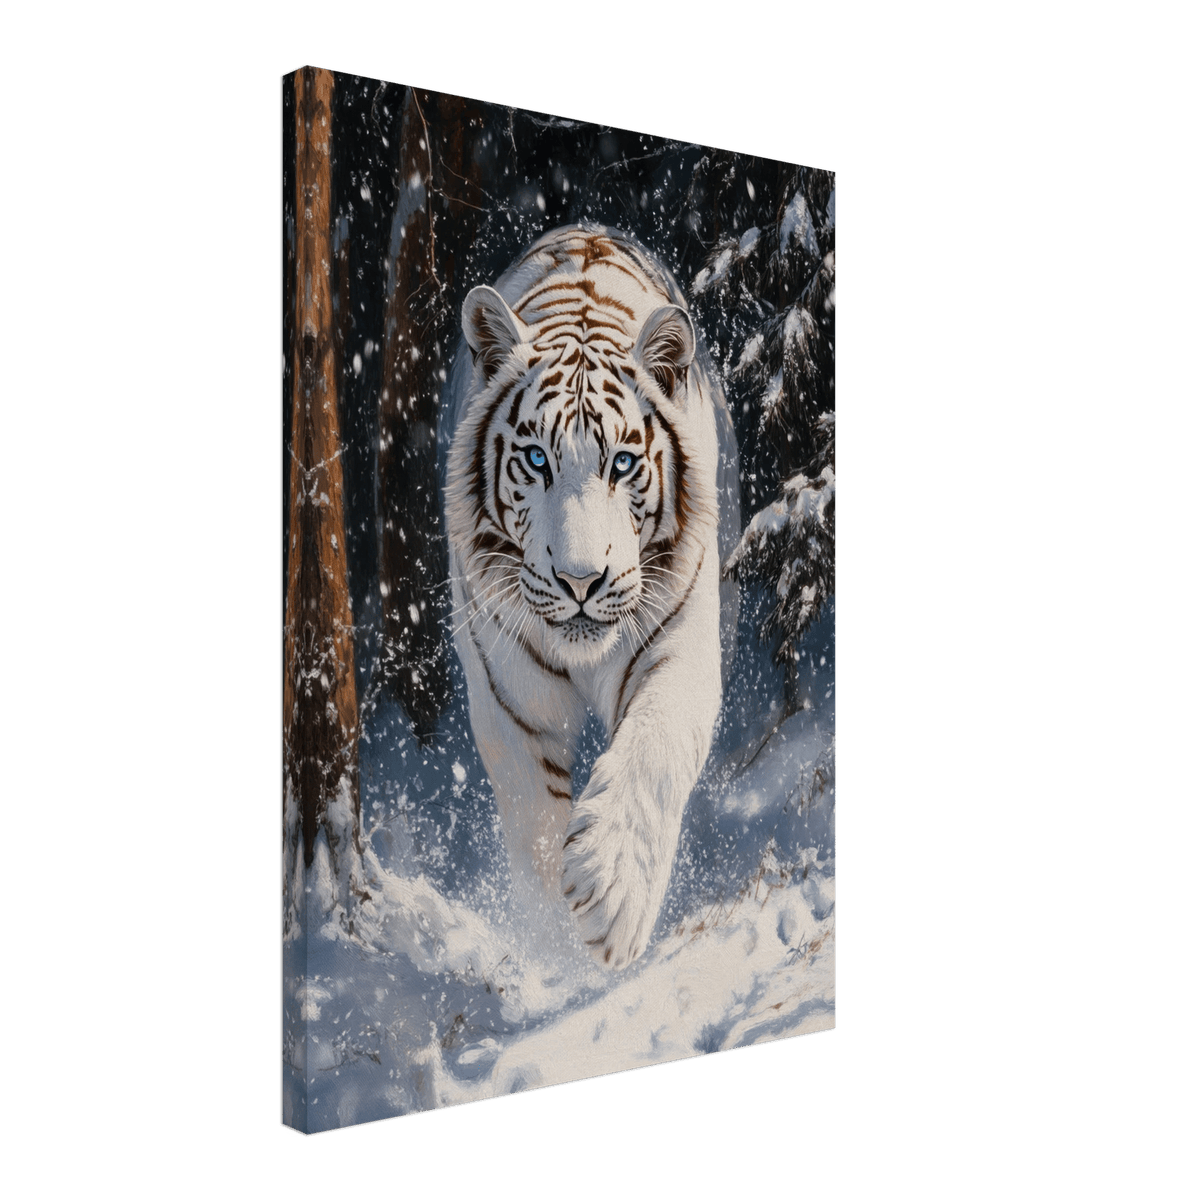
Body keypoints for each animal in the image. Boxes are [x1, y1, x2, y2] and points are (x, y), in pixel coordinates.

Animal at [443, 225, 738, 970]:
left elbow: (654, 751)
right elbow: (532, 823)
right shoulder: (509, 696)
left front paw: (611, 896)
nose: (581, 581)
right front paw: (557, 949)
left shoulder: (679, 648)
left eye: (623, 463)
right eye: (536, 460)